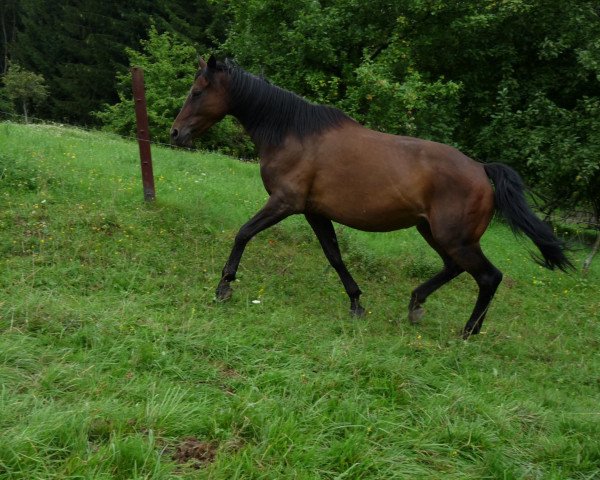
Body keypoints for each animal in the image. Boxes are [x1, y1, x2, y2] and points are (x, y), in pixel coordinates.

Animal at [170, 57, 572, 338]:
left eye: (197, 92)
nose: (175, 133)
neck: (293, 133)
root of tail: (482, 170)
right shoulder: (314, 212)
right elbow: (334, 256)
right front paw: (356, 304)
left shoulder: (284, 203)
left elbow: (243, 233)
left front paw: (224, 286)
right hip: (435, 233)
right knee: (454, 268)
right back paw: (416, 305)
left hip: (454, 238)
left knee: (489, 277)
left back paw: (468, 331)